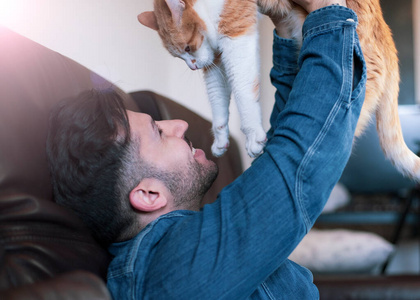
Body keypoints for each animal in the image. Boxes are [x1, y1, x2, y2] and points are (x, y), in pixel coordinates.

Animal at [139, 0, 420, 180]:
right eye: (179, 56)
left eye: (187, 48)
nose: (193, 66)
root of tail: (387, 37)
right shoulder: (215, 59)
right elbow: (218, 100)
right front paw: (220, 141)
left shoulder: (236, 34)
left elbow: (243, 90)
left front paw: (253, 136)